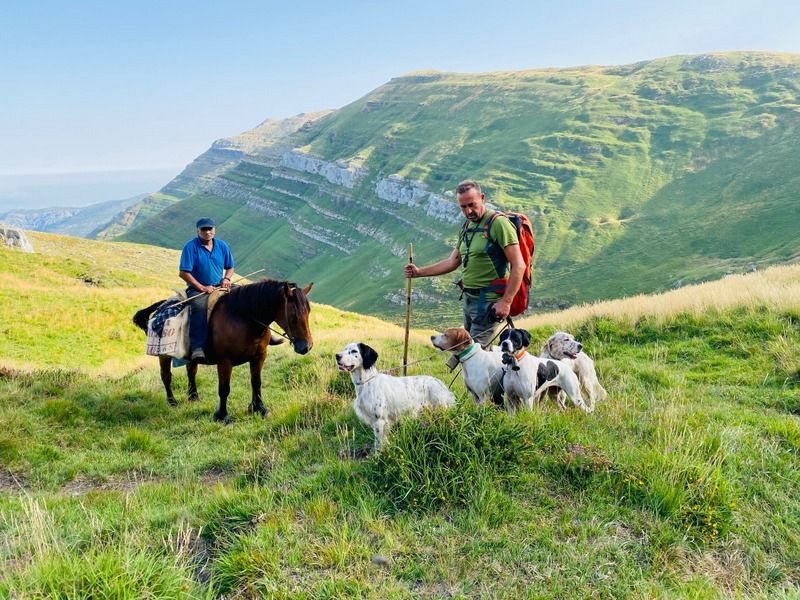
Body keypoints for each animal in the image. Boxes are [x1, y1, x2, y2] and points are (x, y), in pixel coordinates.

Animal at [133, 280, 310, 422]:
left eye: (308, 312)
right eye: (293, 314)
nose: (306, 346)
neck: (244, 319)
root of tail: (163, 305)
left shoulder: (259, 356)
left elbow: (256, 383)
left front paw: (258, 408)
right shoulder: (225, 361)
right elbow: (224, 389)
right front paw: (222, 416)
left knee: (191, 371)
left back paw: (193, 396)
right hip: (164, 355)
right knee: (166, 376)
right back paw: (172, 401)